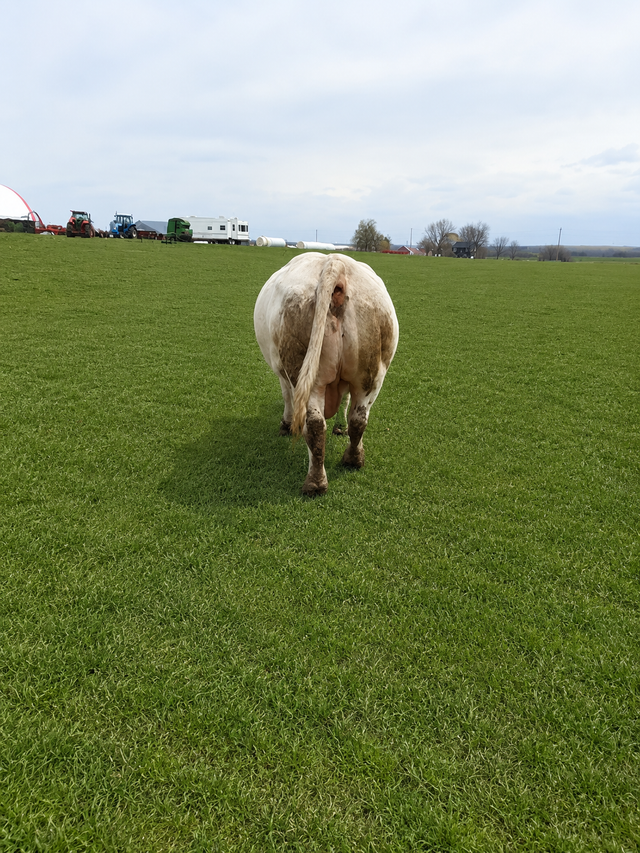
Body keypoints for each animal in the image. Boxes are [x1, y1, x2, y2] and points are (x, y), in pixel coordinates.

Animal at [254, 252, 399, 496]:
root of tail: (335, 263)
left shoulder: (282, 371)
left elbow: (287, 398)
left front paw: (285, 425)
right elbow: (346, 404)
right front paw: (340, 428)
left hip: (305, 373)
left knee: (314, 424)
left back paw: (315, 483)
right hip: (372, 374)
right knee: (358, 418)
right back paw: (353, 460)